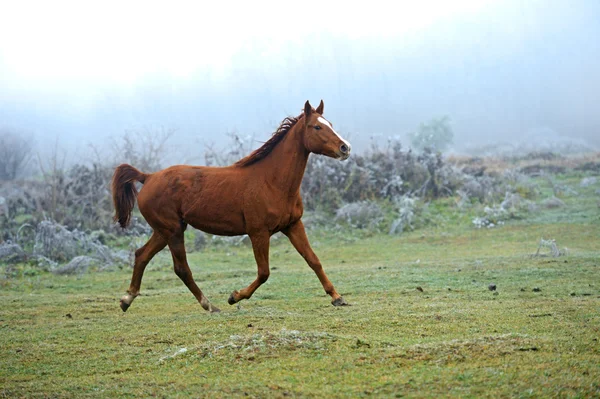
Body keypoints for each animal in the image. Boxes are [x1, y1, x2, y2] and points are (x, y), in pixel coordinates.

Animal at [112, 100, 352, 312]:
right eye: (317, 126)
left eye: (330, 123)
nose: (345, 147)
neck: (272, 181)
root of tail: (148, 177)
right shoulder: (258, 232)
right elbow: (264, 272)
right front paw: (234, 296)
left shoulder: (293, 225)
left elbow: (314, 260)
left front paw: (337, 297)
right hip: (172, 230)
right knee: (181, 268)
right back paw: (210, 305)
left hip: (165, 230)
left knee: (141, 255)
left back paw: (126, 299)